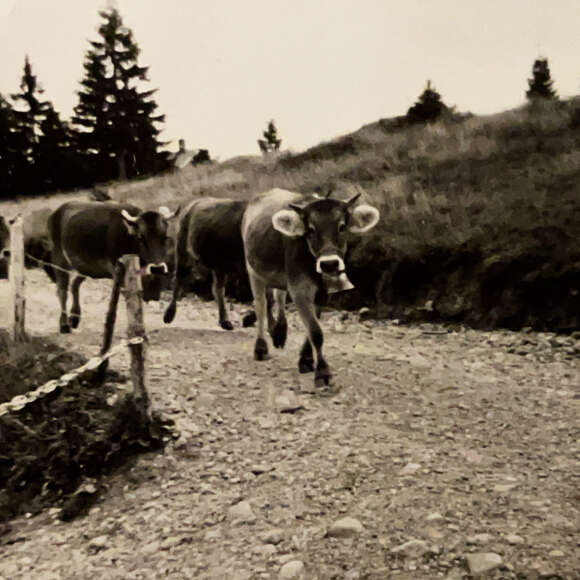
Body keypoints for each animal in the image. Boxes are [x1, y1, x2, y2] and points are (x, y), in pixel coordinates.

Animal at [49, 201, 178, 334]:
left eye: (163, 237)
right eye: (141, 237)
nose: (157, 268)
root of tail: (60, 209)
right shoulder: (118, 272)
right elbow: (129, 296)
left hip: (87, 268)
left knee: (75, 284)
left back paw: (75, 317)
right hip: (59, 257)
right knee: (62, 290)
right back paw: (64, 324)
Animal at [163, 197, 254, 328]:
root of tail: (192, 205)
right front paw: (248, 319)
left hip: (219, 266)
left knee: (218, 289)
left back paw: (225, 321)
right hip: (183, 254)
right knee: (178, 279)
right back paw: (169, 315)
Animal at [241, 188, 380, 388]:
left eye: (342, 227)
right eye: (311, 230)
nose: (329, 264)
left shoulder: (323, 293)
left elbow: (312, 325)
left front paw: (306, 359)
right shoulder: (300, 288)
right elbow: (315, 331)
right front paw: (322, 372)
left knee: (278, 296)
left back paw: (279, 332)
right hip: (253, 270)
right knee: (260, 305)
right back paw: (261, 347)